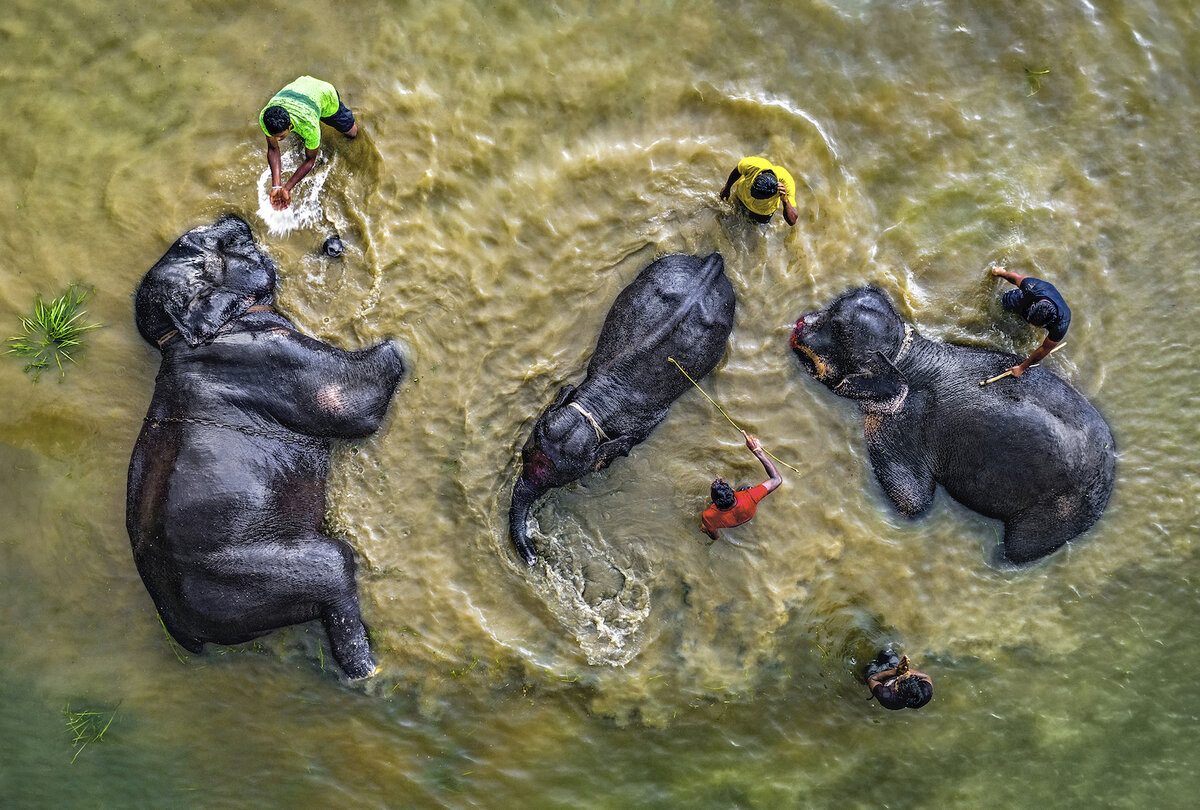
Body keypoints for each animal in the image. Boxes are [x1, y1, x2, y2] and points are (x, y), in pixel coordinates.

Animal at [124, 216, 408, 676]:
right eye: (215, 244)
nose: (233, 219)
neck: (181, 337)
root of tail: (182, 626)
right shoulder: (276, 357)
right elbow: (356, 401)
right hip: (268, 572)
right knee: (336, 569)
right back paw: (367, 670)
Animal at [508, 252, 734, 564]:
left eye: (554, 482)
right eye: (525, 453)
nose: (532, 557)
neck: (594, 404)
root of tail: (712, 262)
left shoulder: (640, 424)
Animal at [787, 286, 1113, 564]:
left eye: (839, 332)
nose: (799, 322)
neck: (905, 355)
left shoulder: (903, 425)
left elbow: (913, 503)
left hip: (1058, 513)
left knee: (1017, 551)